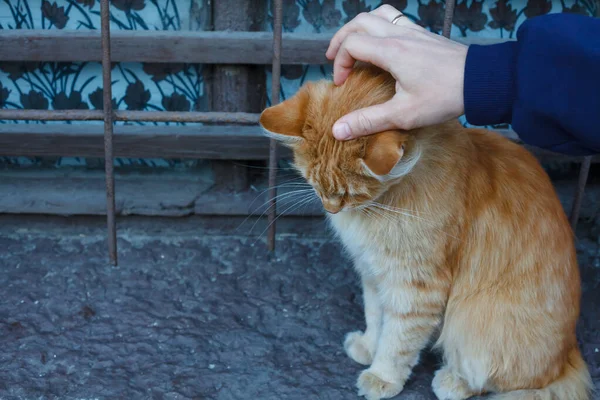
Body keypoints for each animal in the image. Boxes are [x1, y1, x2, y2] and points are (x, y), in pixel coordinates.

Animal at [260, 65, 592, 400]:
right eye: (314, 185)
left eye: (350, 194)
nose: (330, 209)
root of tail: (567, 355)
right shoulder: (374, 273)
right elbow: (376, 317)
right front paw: (368, 346)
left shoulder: (416, 285)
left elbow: (398, 339)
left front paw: (381, 376)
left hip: (474, 321)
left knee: (505, 379)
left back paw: (454, 381)